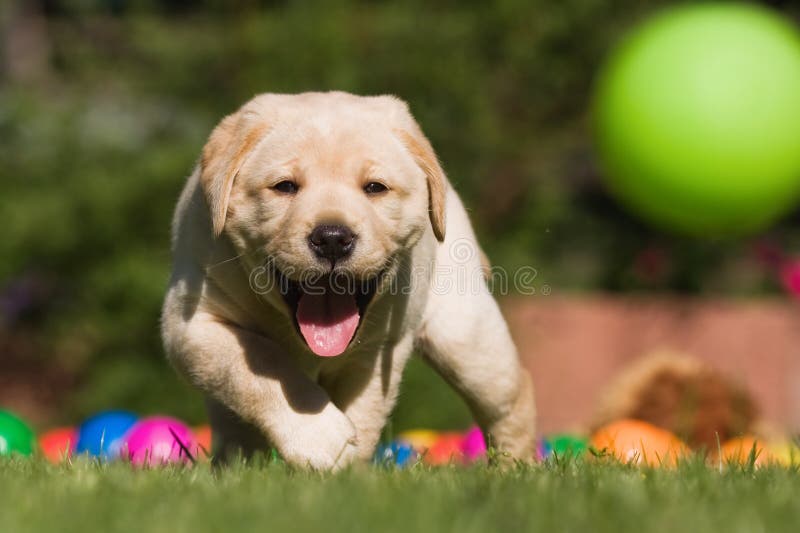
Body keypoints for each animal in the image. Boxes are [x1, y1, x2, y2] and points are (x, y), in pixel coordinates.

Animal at [161, 92, 536, 470]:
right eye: (285, 186)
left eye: (375, 188)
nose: (331, 238)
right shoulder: (190, 326)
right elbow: (255, 362)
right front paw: (319, 437)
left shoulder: (377, 350)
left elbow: (364, 413)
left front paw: (349, 471)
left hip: (466, 335)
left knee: (511, 400)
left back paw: (514, 467)